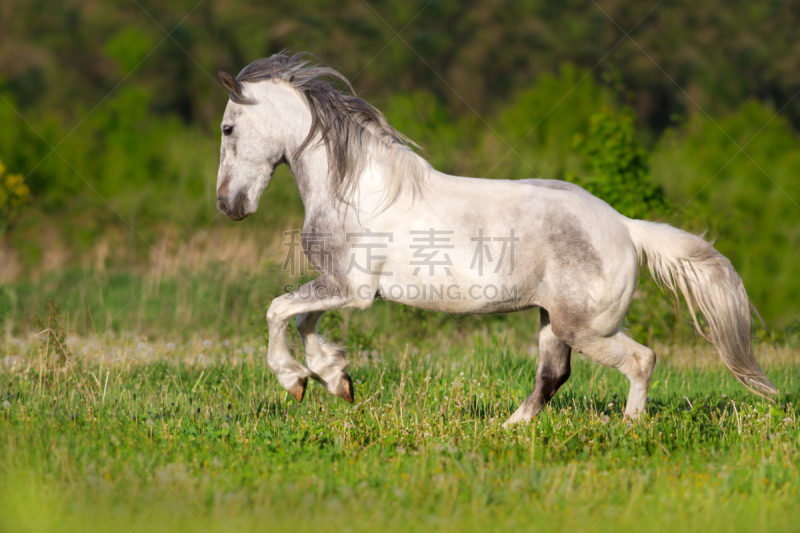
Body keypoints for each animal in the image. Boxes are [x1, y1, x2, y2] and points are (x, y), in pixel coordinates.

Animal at [212, 50, 776, 424]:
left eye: (227, 129)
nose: (228, 206)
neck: (354, 189)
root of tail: (625, 227)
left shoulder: (352, 290)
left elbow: (279, 310)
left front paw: (295, 381)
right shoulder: (339, 288)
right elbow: (302, 319)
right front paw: (335, 381)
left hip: (586, 327)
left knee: (641, 360)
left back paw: (629, 429)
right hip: (552, 321)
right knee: (553, 376)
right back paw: (510, 430)